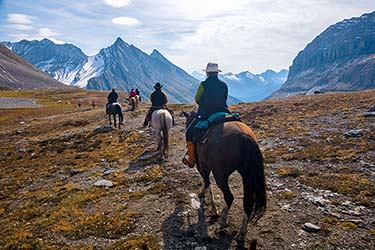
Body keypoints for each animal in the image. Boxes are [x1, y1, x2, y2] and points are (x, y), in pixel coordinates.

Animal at [183, 111, 268, 242]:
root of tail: (244, 137)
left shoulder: (201, 164)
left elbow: (207, 182)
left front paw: (214, 210)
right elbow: (206, 182)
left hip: (220, 175)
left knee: (229, 197)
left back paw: (223, 219)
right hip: (247, 175)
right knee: (247, 201)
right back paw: (242, 233)